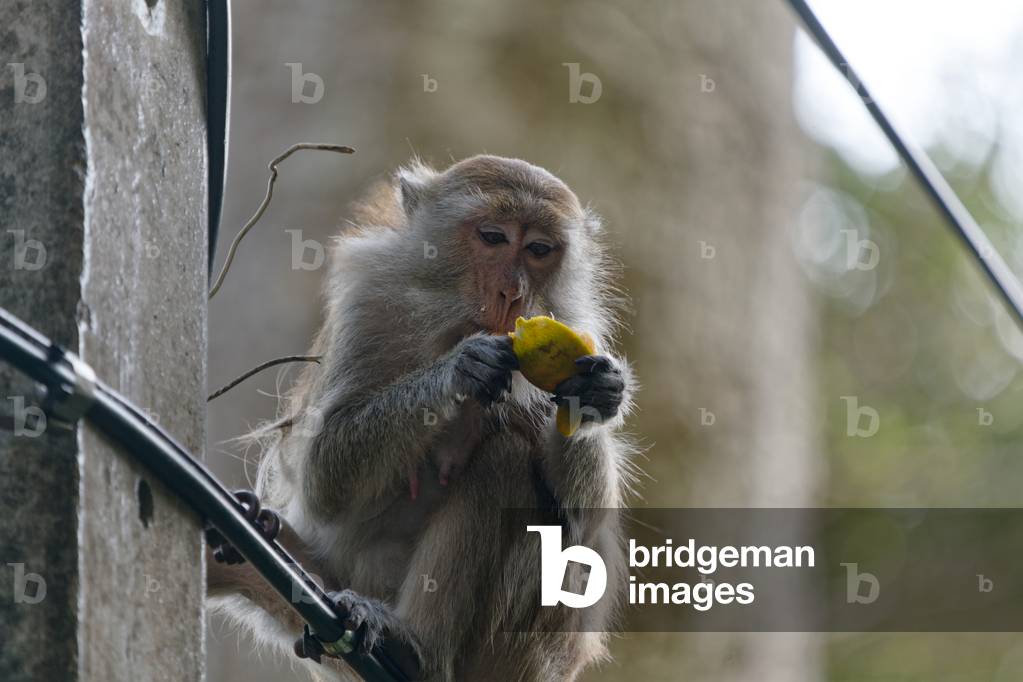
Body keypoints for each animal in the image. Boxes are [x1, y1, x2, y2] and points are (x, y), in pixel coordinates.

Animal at [208, 155, 637, 682]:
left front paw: (597, 393)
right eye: (493, 237)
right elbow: (326, 478)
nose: (513, 293)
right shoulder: (369, 301)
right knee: (505, 462)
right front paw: (460, 368)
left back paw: (416, 647)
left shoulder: (579, 326)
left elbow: (586, 525)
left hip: (526, 650)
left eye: (539, 249)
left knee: (514, 469)